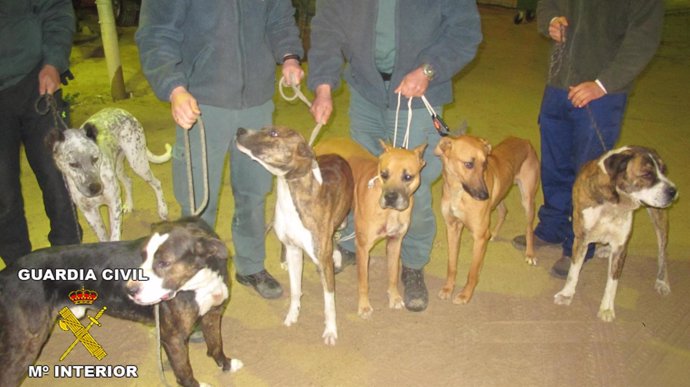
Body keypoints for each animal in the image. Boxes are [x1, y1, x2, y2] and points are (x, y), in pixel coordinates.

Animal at [0, 220, 242, 386]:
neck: (200, 280)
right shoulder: (173, 338)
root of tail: (7, 272)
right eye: (143, 256)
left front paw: (226, 364)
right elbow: (184, 372)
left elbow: (216, 344)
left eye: (164, 263)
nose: (129, 289)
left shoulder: (213, 314)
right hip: (25, 345)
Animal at [236, 126, 354, 346]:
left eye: (273, 133)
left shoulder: (323, 261)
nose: (239, 130)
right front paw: (293, 314)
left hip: (343, 217)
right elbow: (295, 289)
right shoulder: (293, 250)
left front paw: (331, 331)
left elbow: (329, 302)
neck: (290, 191)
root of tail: (336, 155)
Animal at [316, 138, 424, 320]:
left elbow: (393, 274)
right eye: (384, 174)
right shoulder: (363, 247)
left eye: (408, 177)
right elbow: (363, 282)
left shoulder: (395, 242)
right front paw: (364, 306)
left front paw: (394, 297)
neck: (390, 212)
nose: (390, 197)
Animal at [436, 135, 536, 304]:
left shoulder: (479, 236)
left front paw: (465, 295)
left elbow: (472, 271)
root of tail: (525, 140)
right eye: (468, 164)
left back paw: (530, 254)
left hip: (527, 200)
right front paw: (448, 288)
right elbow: (451, 264)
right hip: (501, 193)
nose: (484, 196)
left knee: (529, 228)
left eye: (484, 164)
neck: (459, 192)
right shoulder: (452, 227)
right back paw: (494, 234)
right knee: (504, 211)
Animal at [552, 146, 676, 322]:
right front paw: (566, 295)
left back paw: (662, 281)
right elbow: (573, 271)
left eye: (664, 171)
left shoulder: (620, 246)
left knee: (662, 252)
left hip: (660, 217)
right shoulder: (581, 239)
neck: (615, 201)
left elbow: (612, 281)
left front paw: (606, 309)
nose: (673, 191)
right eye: (646, 174)